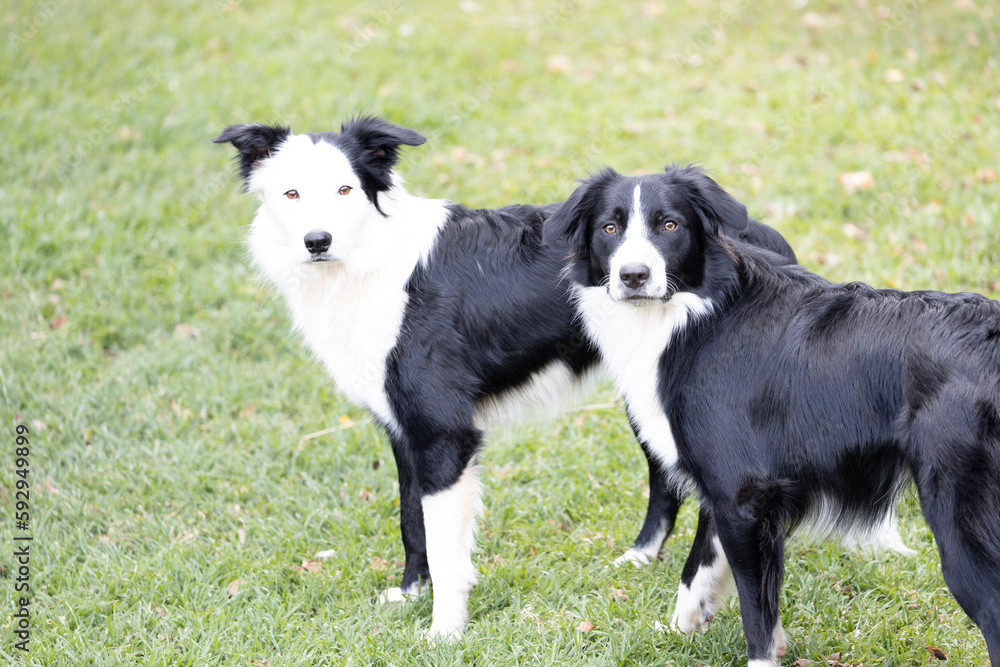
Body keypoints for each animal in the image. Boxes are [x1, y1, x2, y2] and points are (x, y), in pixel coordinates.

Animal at [213, 117, 796, 640]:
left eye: (345, 189)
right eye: (290, 193)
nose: (318, 241)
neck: (371, 261)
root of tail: (761, 231)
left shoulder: (444, 433)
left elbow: (445, 546)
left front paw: (444, 632)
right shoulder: (405, 430)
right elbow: (411, 519)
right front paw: (410, 593)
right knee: (665, 477)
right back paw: (640, 556)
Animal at [548, 164, 1000, 664]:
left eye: (669, 225)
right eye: (609, 228)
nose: (633, 276)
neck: (697, 313)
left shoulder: (742, 493)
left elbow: (755, 613)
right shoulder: (729, 486)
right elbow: (701, 565)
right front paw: (681, 625)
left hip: (961, 521)